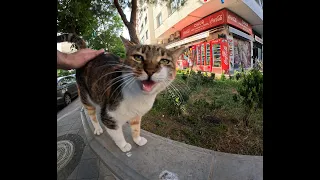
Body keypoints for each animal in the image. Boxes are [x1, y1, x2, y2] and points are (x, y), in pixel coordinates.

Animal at [56, 33, 184, 152]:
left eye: (165, 60)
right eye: (138, 57)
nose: (150, 70)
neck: (139, 97)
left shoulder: (137, 115)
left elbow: (136, 128)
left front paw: (138, 140)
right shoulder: (109, 116)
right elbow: (117, 134)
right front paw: (124, 146)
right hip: (85, 96)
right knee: (92, 114)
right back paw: (97, 129)